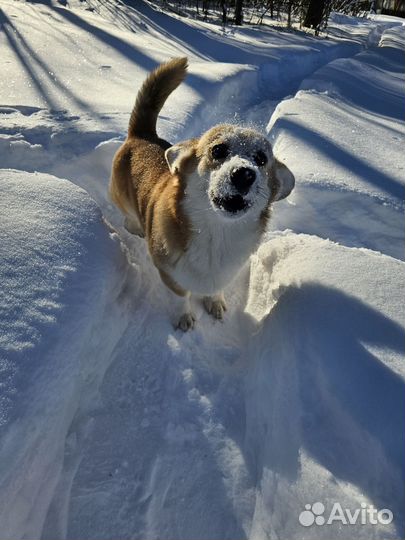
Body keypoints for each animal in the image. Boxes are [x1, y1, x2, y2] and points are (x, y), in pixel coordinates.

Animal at [109, 58, 294, 330]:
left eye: (261, 159)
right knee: (128, 215)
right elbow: (181, 297)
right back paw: (135, 226)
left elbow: (215, 290)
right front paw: (185, 318)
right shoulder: (170, 275)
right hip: (121, 197)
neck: (216, 233)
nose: (244, 174)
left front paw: (214, 303)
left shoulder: (224, 274)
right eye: (218, 150)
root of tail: (143, 134)